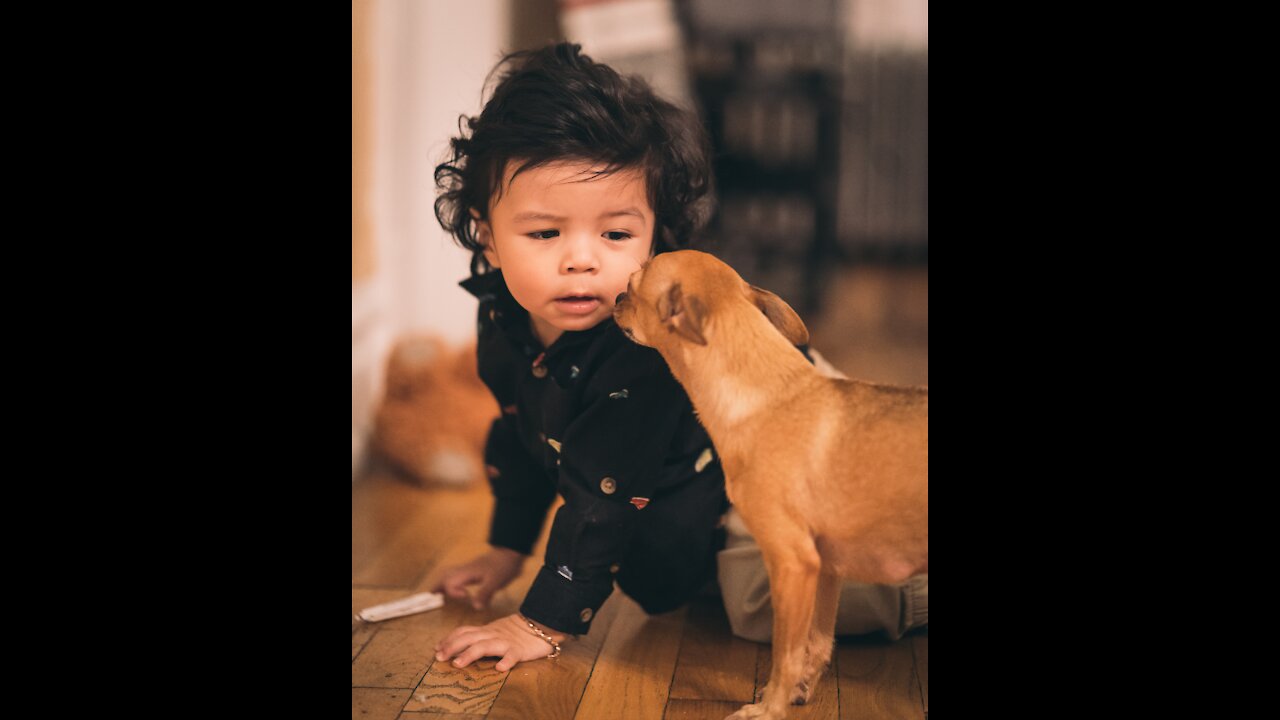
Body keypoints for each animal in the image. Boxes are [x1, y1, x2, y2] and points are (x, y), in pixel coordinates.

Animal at [614, 249, 926, 712]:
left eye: (633, 286)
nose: (616, 298)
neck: (767, 393)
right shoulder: (826, 568)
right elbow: (816, 642)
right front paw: (800, 691)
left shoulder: (792, 563)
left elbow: (785, 653)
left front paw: (767, 710)